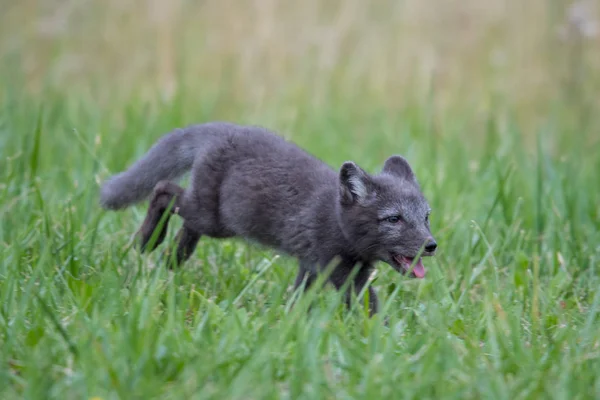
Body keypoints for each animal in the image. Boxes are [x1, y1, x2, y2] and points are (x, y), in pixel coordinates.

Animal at [98, 122, 436, 316]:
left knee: (183, 216)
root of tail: (224, 129)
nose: (431, 246)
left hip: (213, 218)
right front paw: (387, 341)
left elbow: (299, 299)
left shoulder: (312, 267)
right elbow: (372, 310)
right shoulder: (341, 272)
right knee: (163, 190)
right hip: (216, 220)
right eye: (394, 219)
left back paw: (174, 257)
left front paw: (290, 323)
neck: (336, 218)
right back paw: (148, 241)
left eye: (426, 217)